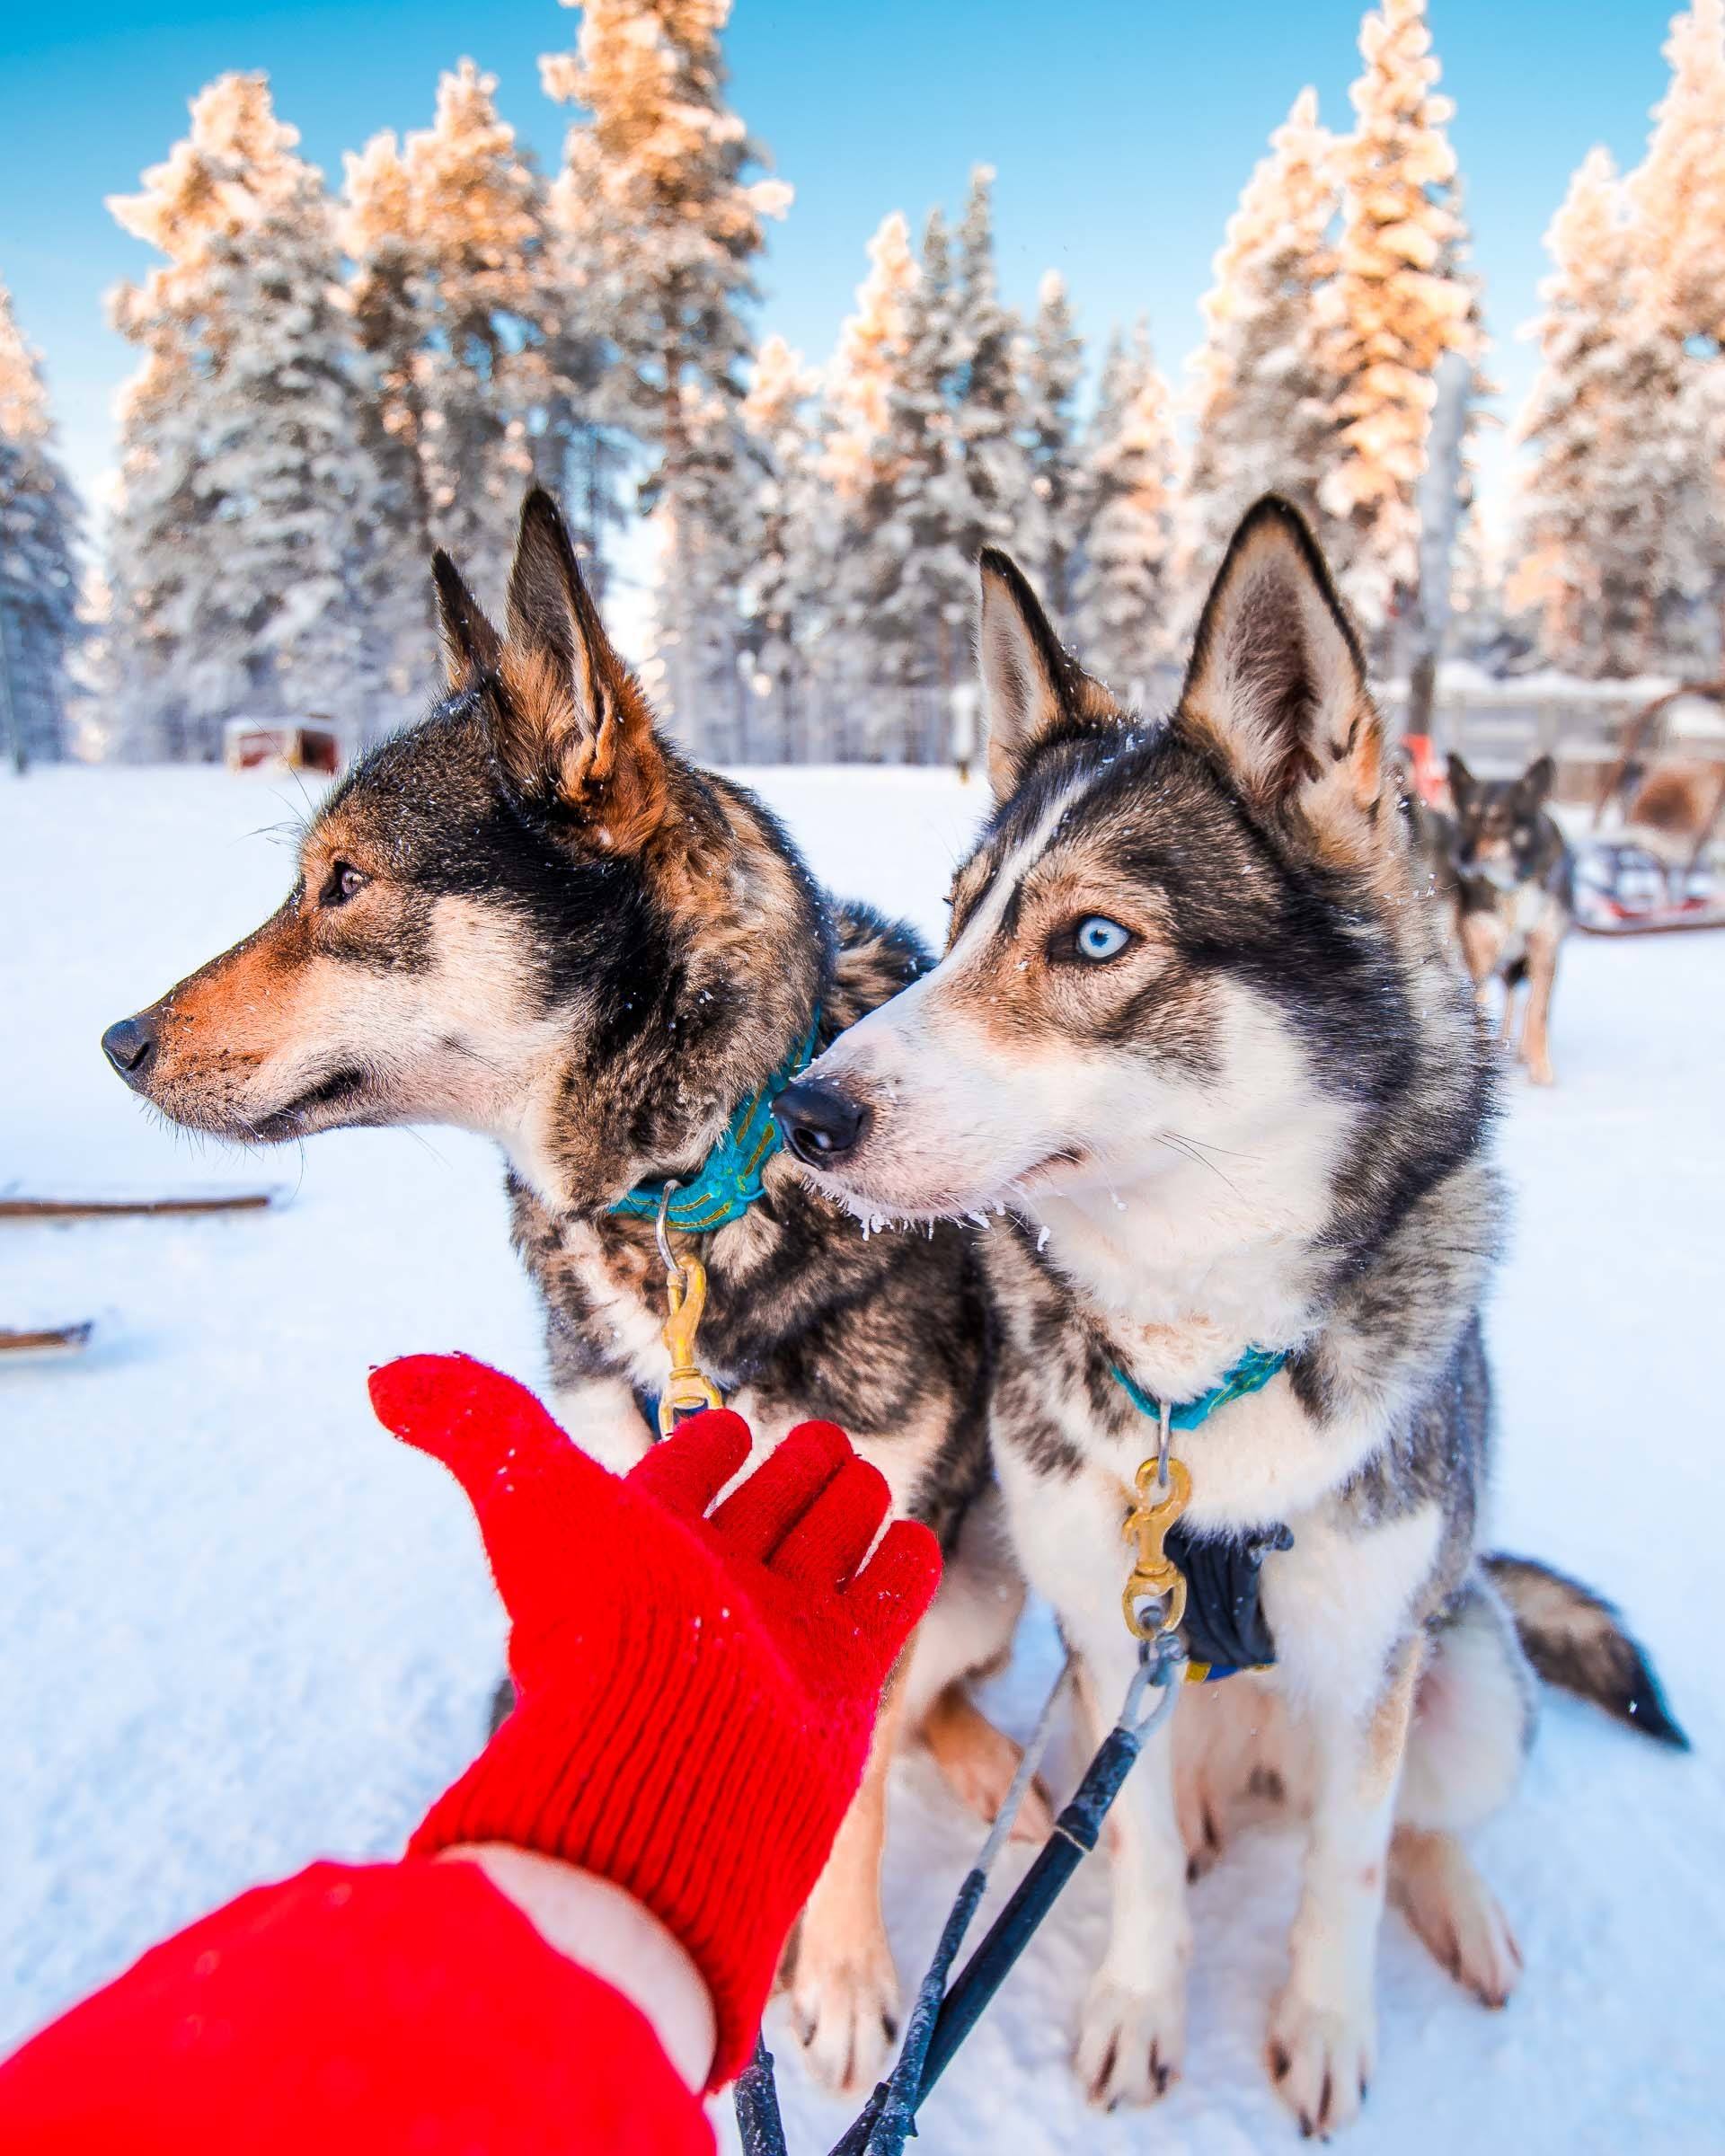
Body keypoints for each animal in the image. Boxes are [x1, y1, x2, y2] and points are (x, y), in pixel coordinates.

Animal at [101, 493, 1039, 2104]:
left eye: (344, 884)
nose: (119, 1041)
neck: (695, 1187)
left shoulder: (891, 1527)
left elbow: (855, 1779)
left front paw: (848, 1977)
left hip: (981, 1565)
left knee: (933, 1709)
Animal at [1431, 758, 1570, 1086]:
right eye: (1465, 817)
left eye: (1499, 819)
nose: (1461, 854)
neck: (1510, 888)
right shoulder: (1479, 949)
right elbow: (1479, 1005)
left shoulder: (1545, 949)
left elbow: (1537, 1012)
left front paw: (1541, 1071)